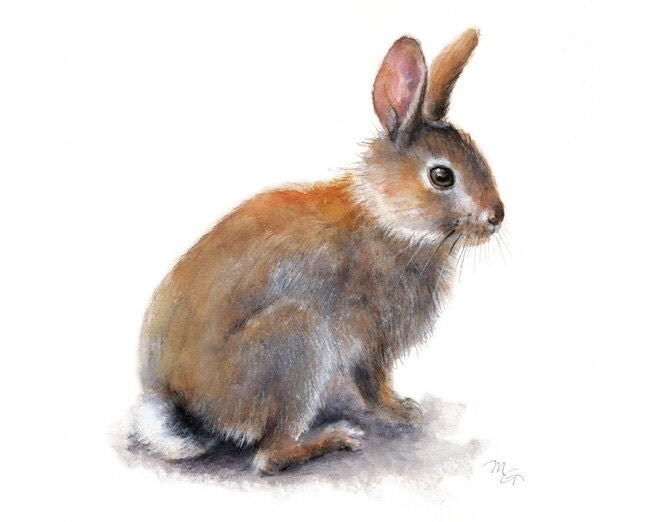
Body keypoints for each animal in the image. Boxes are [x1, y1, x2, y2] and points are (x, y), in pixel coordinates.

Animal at [132, 28, 504, 474]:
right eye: (442, 176)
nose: (497, 216)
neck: (385, 218)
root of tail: (188, 410)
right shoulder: (369, 337)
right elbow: (372, 385)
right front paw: (402, 411)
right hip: (296, 346)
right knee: (270, 455)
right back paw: (335, 438)